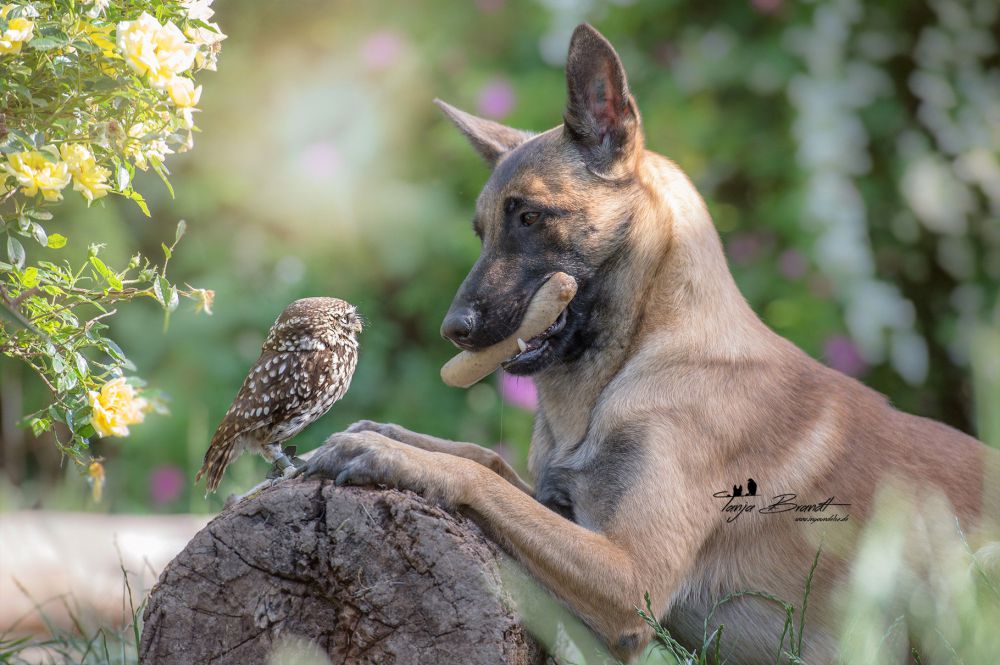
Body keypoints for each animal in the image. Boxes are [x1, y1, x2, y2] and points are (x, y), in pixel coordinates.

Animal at [302, 23, 1000, 660]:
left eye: (529, 217)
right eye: (482, 232)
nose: (454, 330)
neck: (640, 357)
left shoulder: (630, 576)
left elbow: (483, 478)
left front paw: (388, 454)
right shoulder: (571, 510)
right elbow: (488, 460)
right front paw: (393, 435)